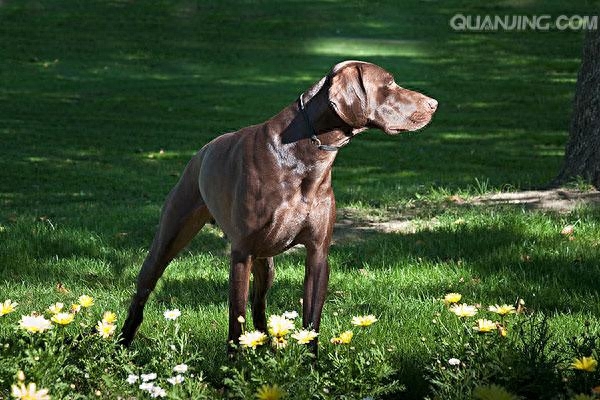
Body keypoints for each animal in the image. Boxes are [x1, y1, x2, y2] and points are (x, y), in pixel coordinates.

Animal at [119, 59, 438, 350]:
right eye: (390, 84)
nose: (434, 103)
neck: (304, 155)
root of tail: (201, 153)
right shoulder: (241, 254)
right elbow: (236, 320)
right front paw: (234, 367)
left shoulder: (318, 254)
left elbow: (311, 322)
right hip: (170, 236)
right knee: (143, 290)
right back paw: (123, 342)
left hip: (266, 263)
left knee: (259, 305)